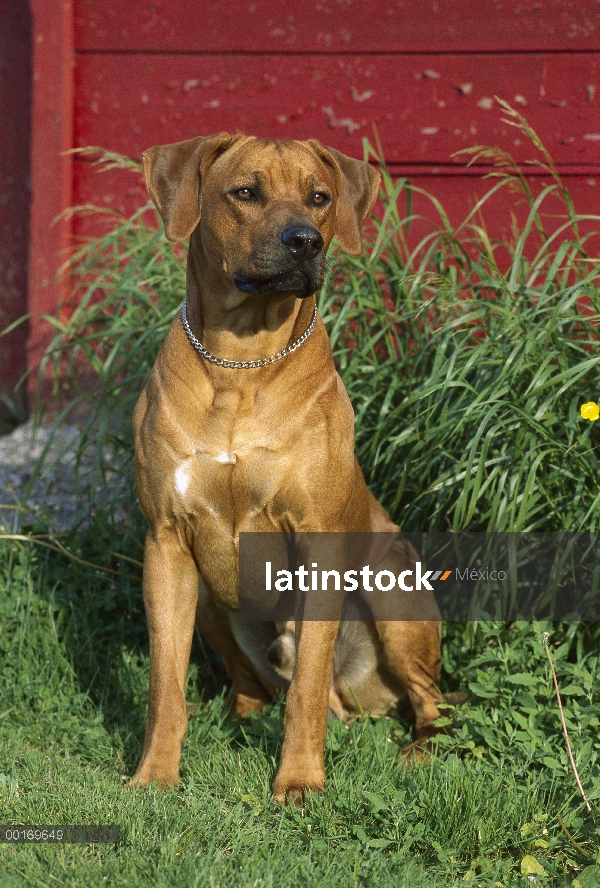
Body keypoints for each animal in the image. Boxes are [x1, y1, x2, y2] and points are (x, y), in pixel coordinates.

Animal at [131, 134, 442, 804]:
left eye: (319, 197)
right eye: (245, 191)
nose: (306, 241)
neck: (239, 362)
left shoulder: (319, 541)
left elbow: (304, 691)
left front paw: (299, 781)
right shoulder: (166, 542)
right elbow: (165, 685)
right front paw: (154, 775)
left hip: (395, 595)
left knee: (425, 700)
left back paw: (420, 751)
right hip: (210, 600)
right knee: (253, 683)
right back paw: (236, 716)